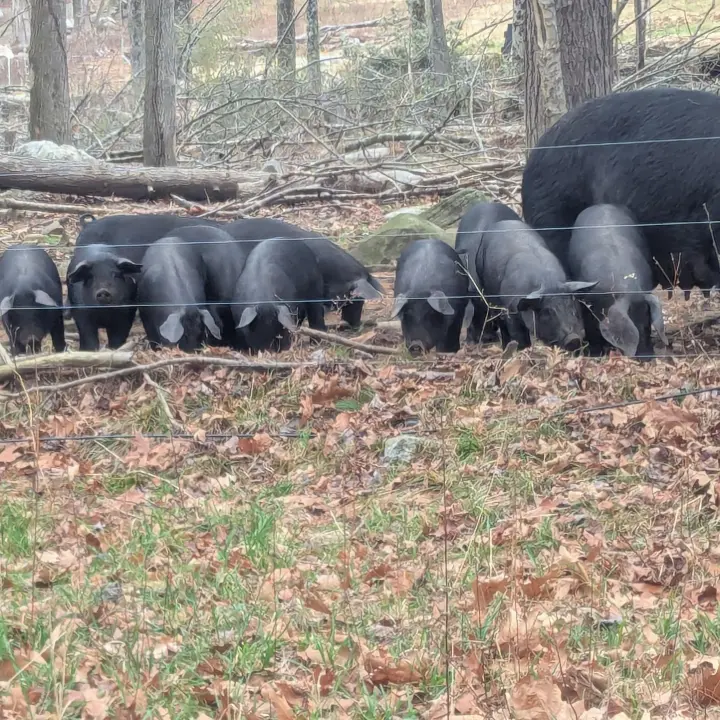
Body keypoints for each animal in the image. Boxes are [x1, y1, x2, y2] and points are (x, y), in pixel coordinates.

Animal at [474, 219, 597, 350]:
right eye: (547, 311)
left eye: (571, 306)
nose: (573, 338)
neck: (548, 282)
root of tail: (503, 221)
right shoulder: (511, 310)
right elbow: (519, 336)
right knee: (501, 324)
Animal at [568, 205, 668, 359]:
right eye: (632, 321)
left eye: (648, 322)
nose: (647, 357)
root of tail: (601, 205)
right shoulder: (586, 303)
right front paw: (595, 354)